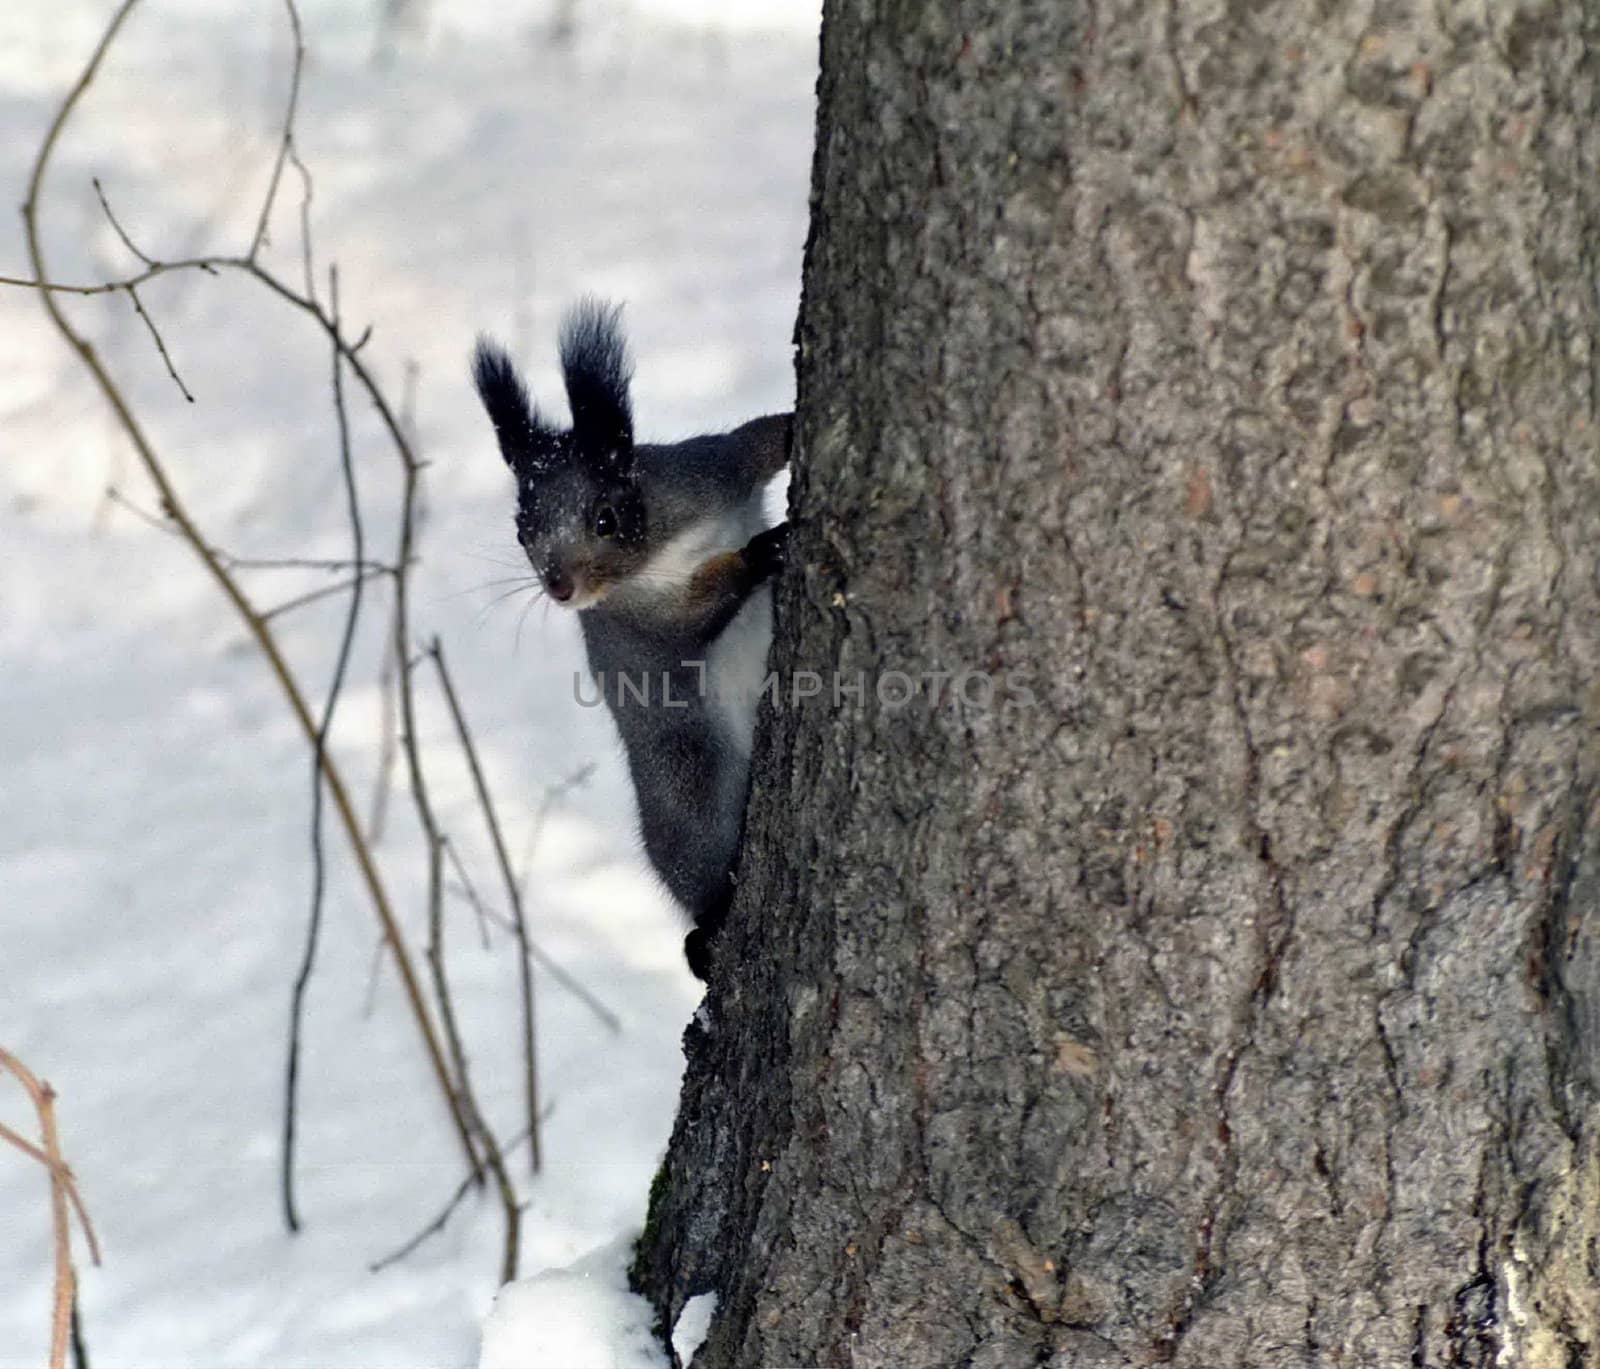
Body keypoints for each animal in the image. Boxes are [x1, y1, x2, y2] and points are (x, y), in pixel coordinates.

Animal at [470, 303, 790, 978]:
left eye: (605, 518)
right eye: (522, 532)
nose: (560, 588)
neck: (662, 550)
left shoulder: (711, 468)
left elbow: (758, 439)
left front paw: (796, 429)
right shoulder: (638, 623)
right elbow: (694, 615)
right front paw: (761, 552)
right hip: (689, 786)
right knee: (700, 869)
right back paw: (710, 918)